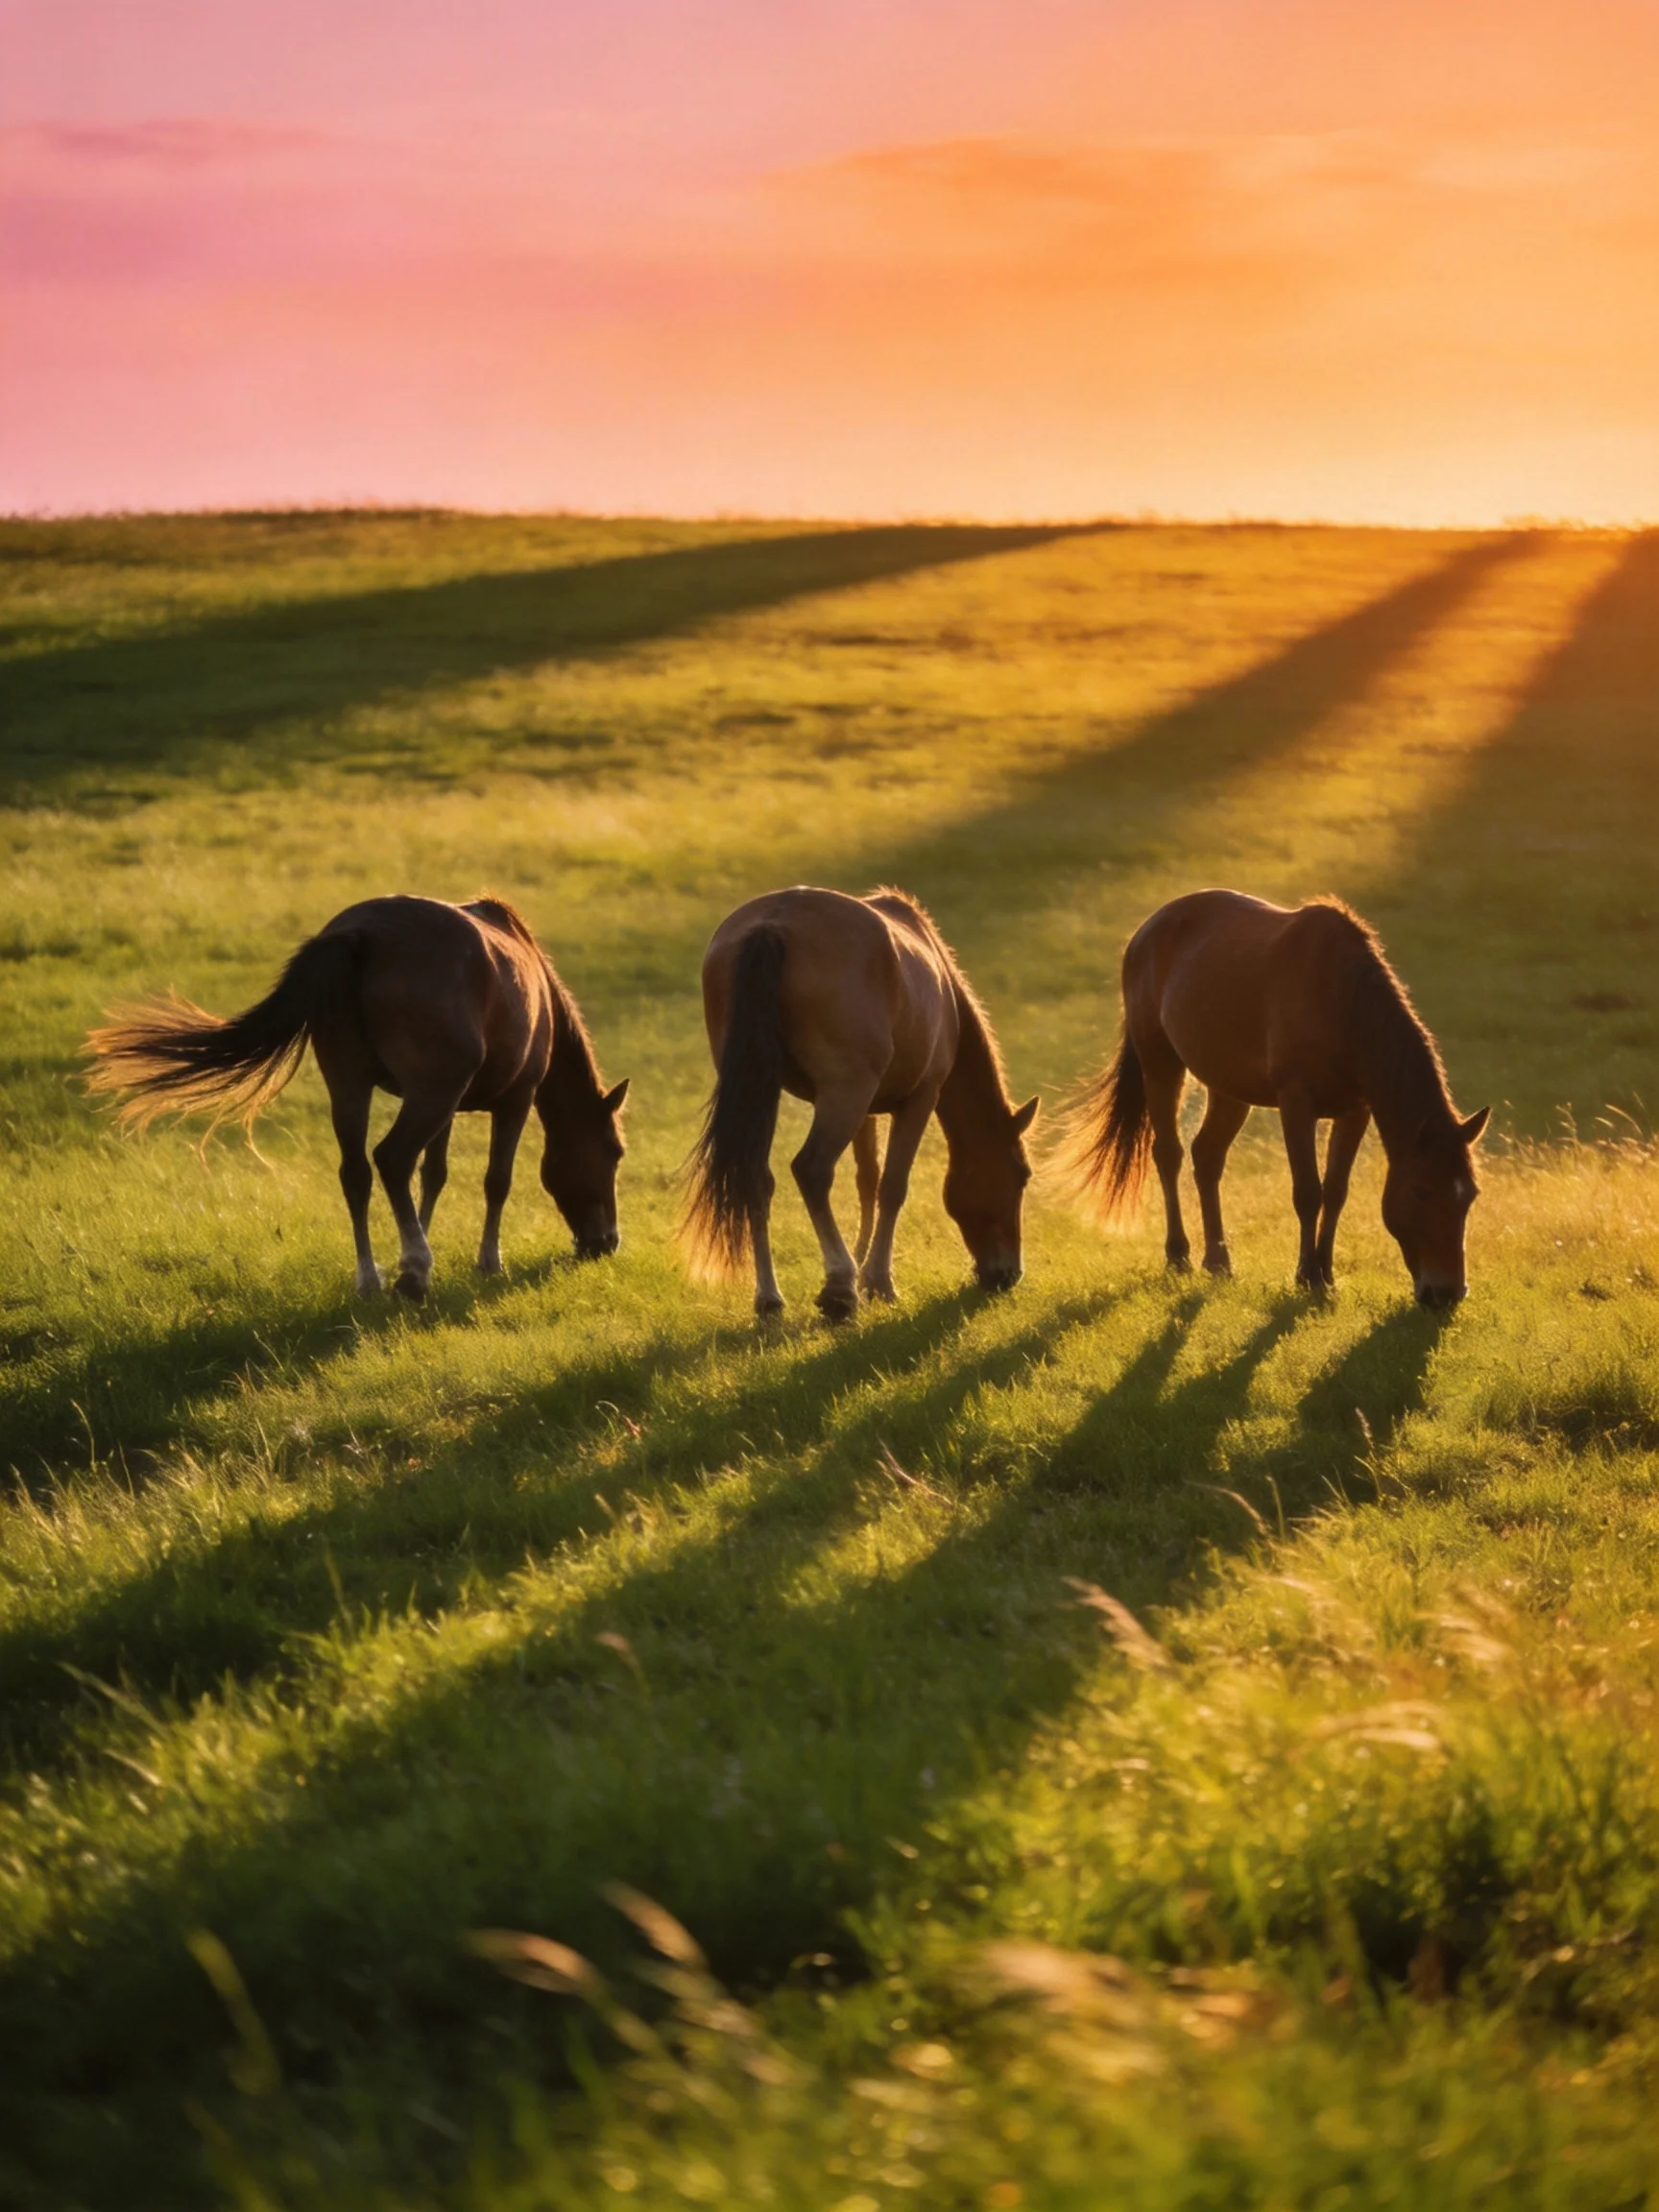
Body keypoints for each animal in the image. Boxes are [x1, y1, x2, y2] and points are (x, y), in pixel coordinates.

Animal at [86, 895, 629, 1300]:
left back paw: (371, 1280)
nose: (606, 1243)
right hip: (427, 1092)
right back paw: (414, 1273)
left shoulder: (449, 1107)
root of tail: (361, 935)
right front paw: (484, 1262)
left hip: (352, 1087)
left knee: (358, 1173)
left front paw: (418, 1236)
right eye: (615, 1152)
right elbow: (496, 1181)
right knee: (390, 1158)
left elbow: (433, 1175)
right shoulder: (512, 1099)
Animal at [683, 885, 1038, 1320]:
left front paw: (864, 1262)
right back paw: (839, 1286)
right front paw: (877, 1280)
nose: (1008, 1274)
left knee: (755, 1178)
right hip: (844, 1094)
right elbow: (892, 1187)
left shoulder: (866, 1111)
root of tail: (772, 923)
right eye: (1021, 1175)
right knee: (812, 1170)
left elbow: (867, 1181)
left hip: (765, 1091)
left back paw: (770, 1298)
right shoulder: (919, 1099)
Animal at [1067, 890, 1488, 1307]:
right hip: (1160, 1065)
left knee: (1207, 1157)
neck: (1340, 1003)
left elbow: (1336, 1192)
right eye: (1421, 1191)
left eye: (1470, 1196)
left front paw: (1327, 1275)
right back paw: (1179, 1257)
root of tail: (1146, 931)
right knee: (1169, 1155)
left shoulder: (1355, 1112)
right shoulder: (1296, 1104)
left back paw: (1218, 1262)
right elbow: (1308, 1192)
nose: (1448, 1293)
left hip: (1228, 1089)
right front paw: (1307, 1276)